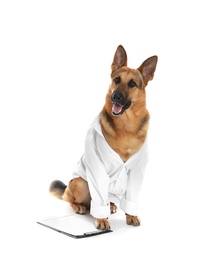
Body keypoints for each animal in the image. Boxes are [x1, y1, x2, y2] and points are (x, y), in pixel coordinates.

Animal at [49, 44, 157, 230]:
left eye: (132, 84)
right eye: (117, 80)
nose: (116, 96)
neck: (126, 127)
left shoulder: (137, 170)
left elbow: (132, 197)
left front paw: (131, 215)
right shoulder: (97, 166)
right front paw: (101, 220)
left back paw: (112, 205)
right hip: (80, 183)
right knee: (74, 199)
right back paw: (80, 206)